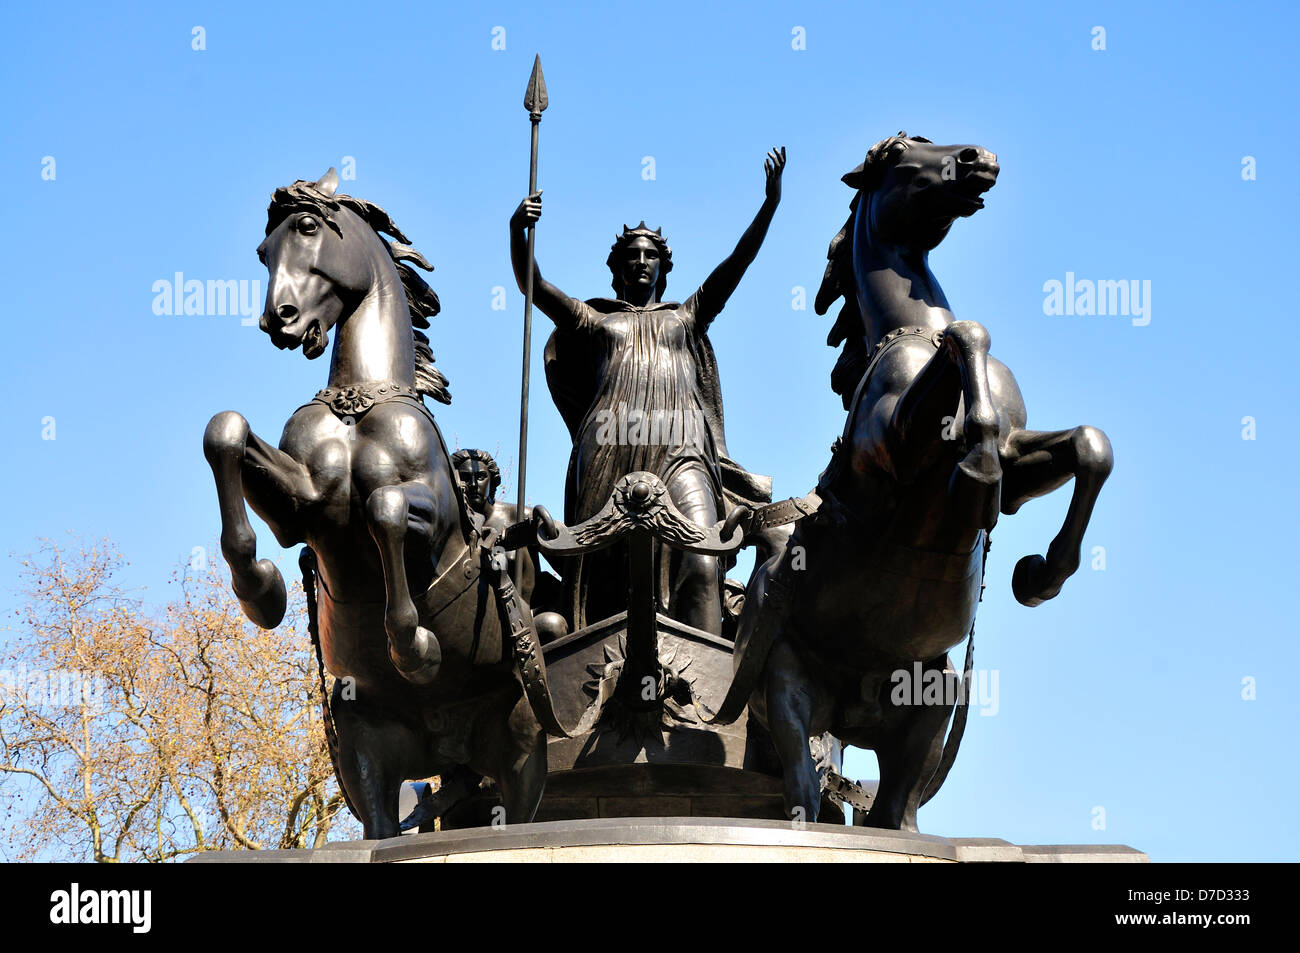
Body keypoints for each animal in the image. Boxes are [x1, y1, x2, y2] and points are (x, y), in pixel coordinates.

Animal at [201, 169, 548, 832]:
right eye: (262, 252)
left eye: (307, 227)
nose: (278, 320)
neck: (358, 401)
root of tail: (448, 749)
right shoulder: (304, 507)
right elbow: (225, 431)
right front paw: (262, 591)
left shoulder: (435, 517)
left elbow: (384, 508)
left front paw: (415, 649)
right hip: (366, 748)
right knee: (382, 823)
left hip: (519, 745)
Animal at [738, 133, 1112, 826]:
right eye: (899, 157)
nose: (977, 158)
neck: (910, 332)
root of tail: (853, 710)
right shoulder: (895, 453)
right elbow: (968, 335)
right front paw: (975, 470)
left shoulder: (1023, 465)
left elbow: (1088, 446)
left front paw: (1040, 574)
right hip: (788, 693)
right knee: (805, 791)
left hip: (930, 708)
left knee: (896, 811)